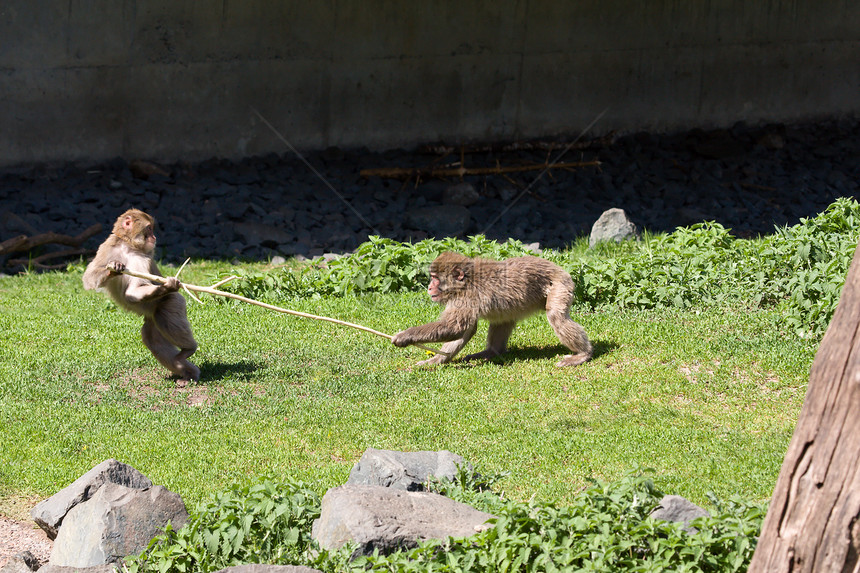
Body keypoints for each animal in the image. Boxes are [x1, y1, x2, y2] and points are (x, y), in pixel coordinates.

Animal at [82, 209, 200, 380]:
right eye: (149, 228)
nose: (154, 237)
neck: (128, 246)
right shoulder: (107, 246)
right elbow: (89, 277)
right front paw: (113, 268)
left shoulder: (142, 258)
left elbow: (135, 289)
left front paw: (166, 286)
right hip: (152, 321)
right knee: (153, 340)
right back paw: (188, 372)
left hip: (173, 301)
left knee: (167, 313)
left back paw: (188, 349)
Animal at [394, 252, 592, 368]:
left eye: (435, 278)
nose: (429, 287)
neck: (466, 282)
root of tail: (561, 270)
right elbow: (466, 330)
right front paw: (436, 360)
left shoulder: (466, 297)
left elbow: (455, 327)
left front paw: (406, 336)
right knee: (503, 319)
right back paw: (492, 352)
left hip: (560, 286)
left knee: (556, 316)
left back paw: (583, 354)